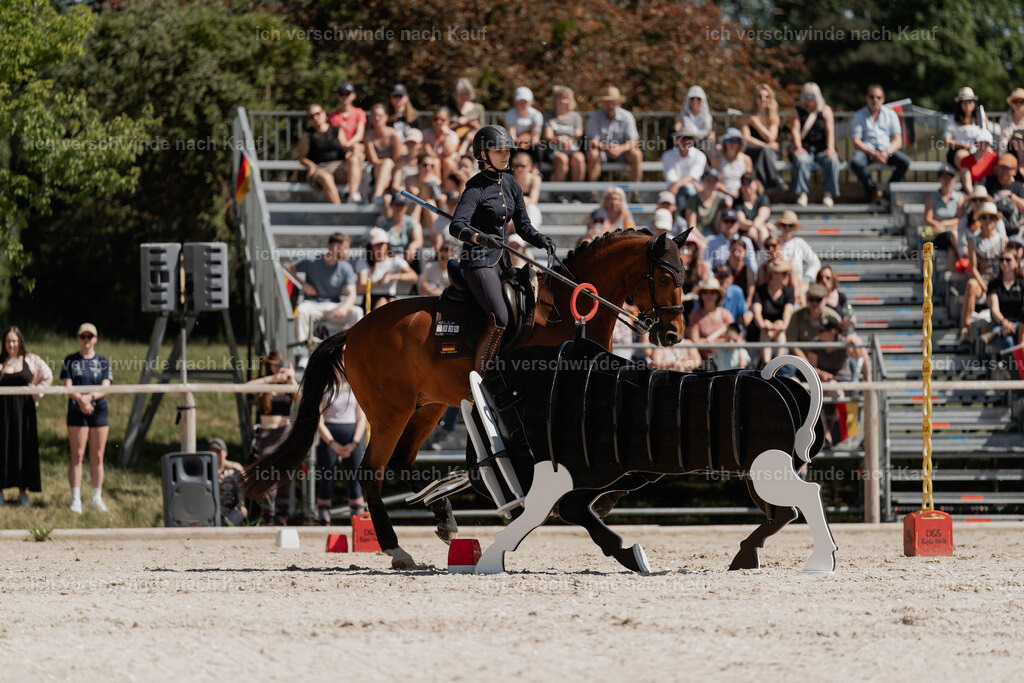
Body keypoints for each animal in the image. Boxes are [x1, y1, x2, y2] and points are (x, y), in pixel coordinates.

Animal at [244, 229, 691, 568]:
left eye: (683, 274)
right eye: (664, 276)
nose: (672, 335)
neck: (567, 313)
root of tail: (354, 331)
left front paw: (605, 500)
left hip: (427, 406)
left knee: (403, 462)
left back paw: (444, 517)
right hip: (391, 411)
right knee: (372, 471)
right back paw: (396, 549)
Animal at [459, 336, 838, 574]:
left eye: (480, 417)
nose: (475, 475)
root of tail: (776, 383)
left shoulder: (559, 474)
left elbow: (535, 515)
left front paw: (491, 558)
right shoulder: (606, 474)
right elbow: (575, 511)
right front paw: (631, 556)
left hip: (767, 471)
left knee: (805, 498)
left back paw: (819, 561)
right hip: (760, 476)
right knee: (785, 512)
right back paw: (747, 556)